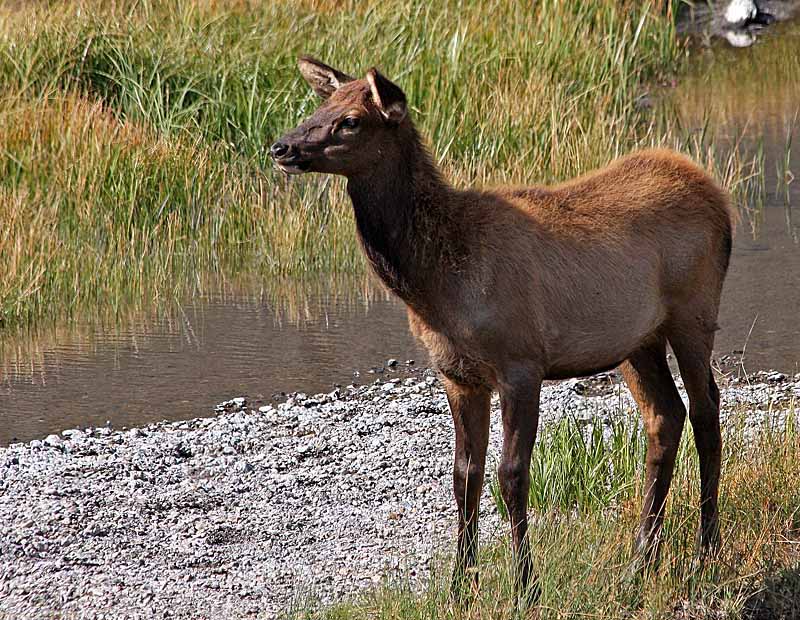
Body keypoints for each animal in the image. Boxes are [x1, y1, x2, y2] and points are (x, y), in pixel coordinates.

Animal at [274, 58, 732, 600]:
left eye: (351, 121)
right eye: (320, 107)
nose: (281, 147)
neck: (436, 287)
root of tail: (718, 196)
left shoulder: (521, 363)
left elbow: (511, 476)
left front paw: (525, 585)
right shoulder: (457, 375)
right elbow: (464, 476)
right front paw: (459, 584)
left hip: (694, 311)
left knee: (706, 411)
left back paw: (707, 551)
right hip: (638, 339)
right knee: (665, 415)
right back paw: (641, 559)